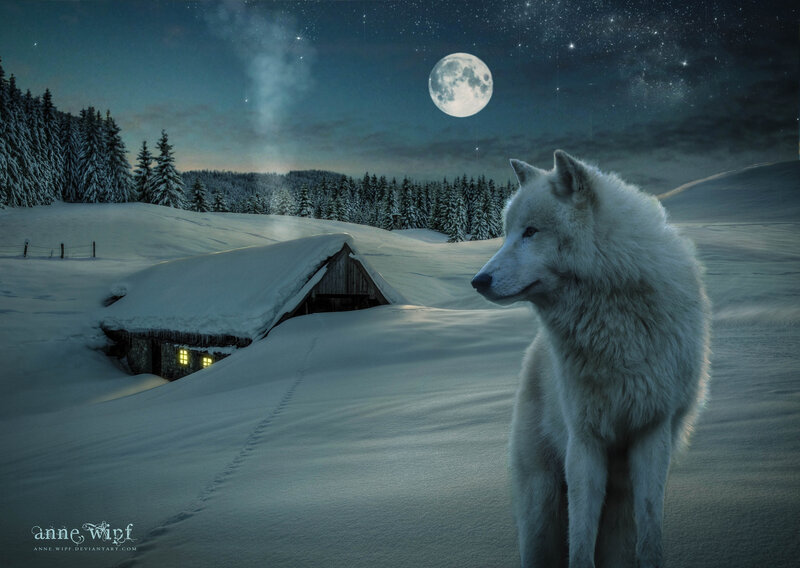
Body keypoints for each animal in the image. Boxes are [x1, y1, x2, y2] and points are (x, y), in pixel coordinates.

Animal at [472, 151, 710, 568]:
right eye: (508, 232)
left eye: (531, 232)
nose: (478, 281)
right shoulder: (584, 441)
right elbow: (581, 542)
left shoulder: (652, 431)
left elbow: (650, 534)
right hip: (540, 505)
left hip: (619, 505)